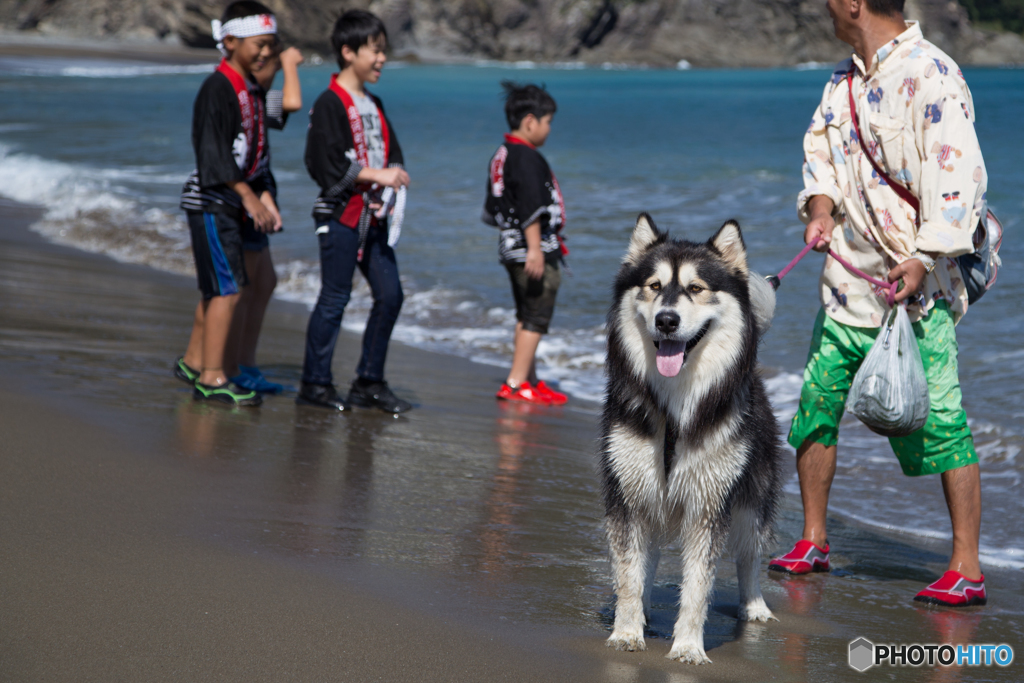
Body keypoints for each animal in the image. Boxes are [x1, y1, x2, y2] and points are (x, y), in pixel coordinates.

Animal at [598, 211, 782, 663]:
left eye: (696, 289)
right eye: (654, 286)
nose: (667, 320)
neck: (675, 407)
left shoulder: (708, 504)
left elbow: (698, 587)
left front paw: (687, 646)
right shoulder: (628, 494)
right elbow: (629, 573)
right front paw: (626, 631)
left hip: (753, 499)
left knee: (750, 555)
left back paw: (755, 606)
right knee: (646, 560)